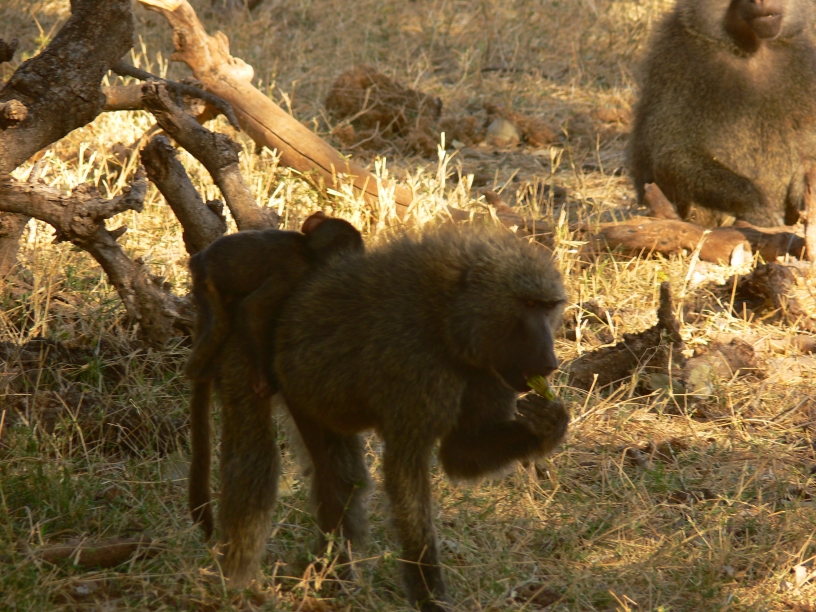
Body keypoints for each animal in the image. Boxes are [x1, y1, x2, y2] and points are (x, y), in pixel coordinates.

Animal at [186, 211, 363, 539]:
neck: (306, 247)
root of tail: (198, 260)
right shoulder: (295, 274)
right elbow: (253, 310)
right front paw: (264, 380)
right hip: (207, 286)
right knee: (223, 323)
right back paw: (197, 371)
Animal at [210, 226, 570, 610]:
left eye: (548, 307)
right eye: (528, 305)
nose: (550, 362)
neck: (445, 318)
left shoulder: (491, 373)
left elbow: (460, 455)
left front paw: (546, 425)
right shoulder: (416, 366)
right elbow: (406, 469)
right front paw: (429, 596)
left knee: (340, 479)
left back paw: (331, 580)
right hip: (246, 351)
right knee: (254, 461)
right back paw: (234, 582)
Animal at [628, 0, 816, 227]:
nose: (760, 1)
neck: (751, 49)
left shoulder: (804, 61)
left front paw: (801, 192)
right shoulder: (678, 61)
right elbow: (671, 156)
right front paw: (758, 209)